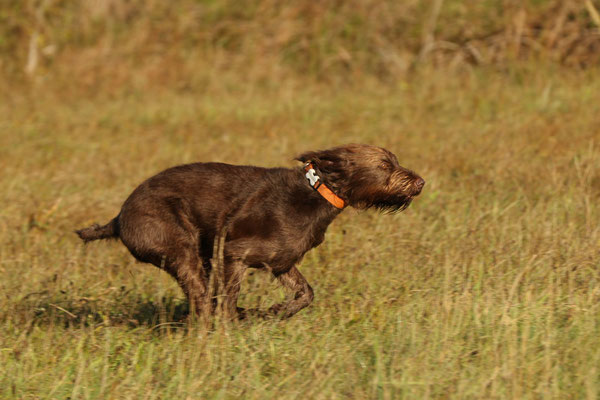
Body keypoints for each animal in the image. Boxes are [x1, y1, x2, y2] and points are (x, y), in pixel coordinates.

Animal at [76, 144, 422, 318]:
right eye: (386, 165)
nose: (421, 182)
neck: (316, 192)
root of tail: (118, 218)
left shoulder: (281, 263)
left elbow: (306, 293)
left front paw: (278, 311)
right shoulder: (231, 255)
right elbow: (227, 303)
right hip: (183, 250)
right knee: (204, 302)